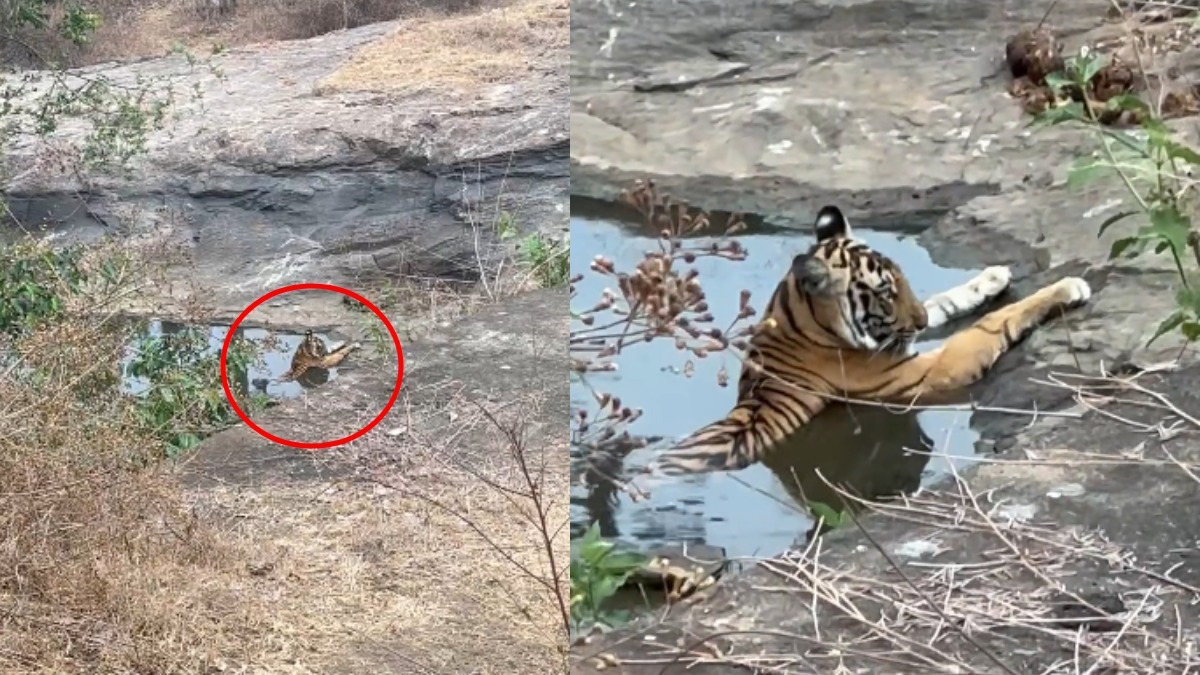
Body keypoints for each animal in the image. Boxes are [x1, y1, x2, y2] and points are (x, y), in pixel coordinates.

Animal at [644, 204, 1091, 478]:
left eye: (903, 281)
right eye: (885, 293)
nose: (919, 320)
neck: (801, 321)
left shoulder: (900, 339)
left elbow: (942, 302)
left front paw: (991, 277)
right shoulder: (924, 368)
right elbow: (990, 324)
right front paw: (1067, 287)